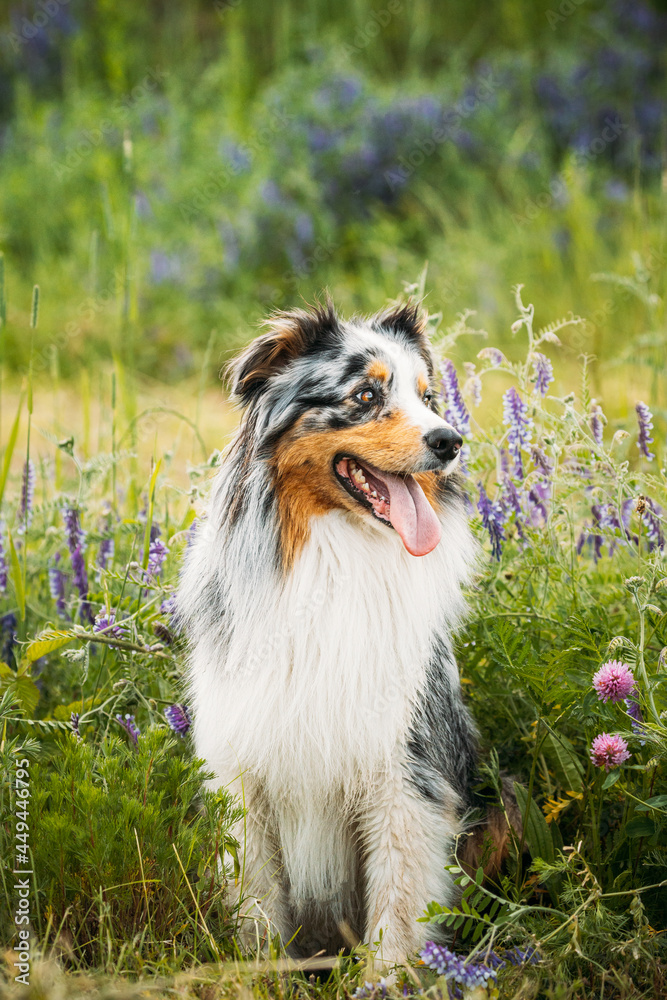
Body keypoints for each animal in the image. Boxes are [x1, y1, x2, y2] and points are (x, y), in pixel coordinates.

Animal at [177, 298, 496, 968]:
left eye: (429, 397)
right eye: (366, 394)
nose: (450, 441)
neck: (336, 555)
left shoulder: (406, 769)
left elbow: (398, 906)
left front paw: (385, 978)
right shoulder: (242, 770)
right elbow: (255, 896)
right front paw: (264, 972)